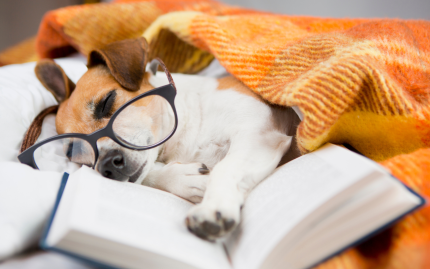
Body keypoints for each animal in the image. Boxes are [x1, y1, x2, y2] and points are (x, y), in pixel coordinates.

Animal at [34, 36, 298, 240]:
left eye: (107, 102)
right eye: (75, 153)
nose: (107, 164)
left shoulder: (258, 135)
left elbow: (226, 168)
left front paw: (213, 208)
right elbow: (150, 174)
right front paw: (185, 179)